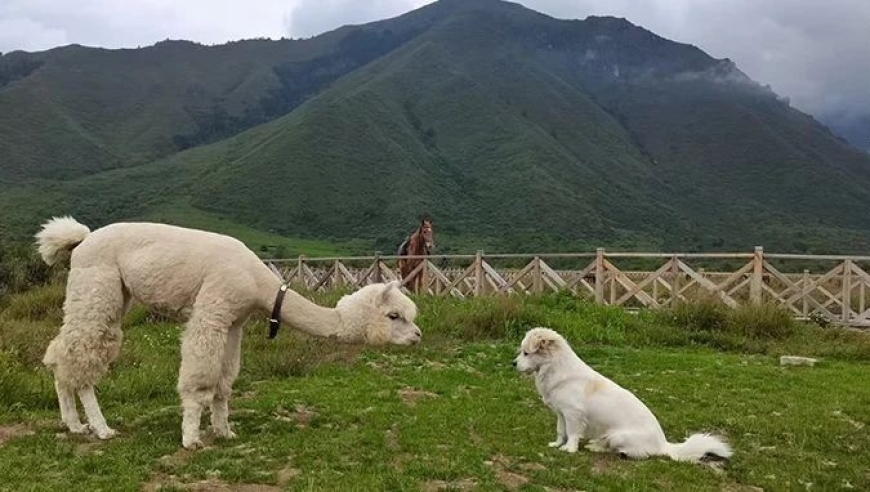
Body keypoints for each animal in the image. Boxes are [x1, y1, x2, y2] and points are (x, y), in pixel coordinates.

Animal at [516, 328, 732, 464]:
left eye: (526, 353)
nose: (513, 363)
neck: (555, 368)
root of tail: (663, 443)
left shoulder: (573, 414)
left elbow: (573, 433)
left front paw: (569, 449)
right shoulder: (561, 413)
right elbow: (561, 431)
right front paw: (557, 444)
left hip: (617, 435)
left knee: (637, 453)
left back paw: (613, 450)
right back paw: (595, 445)